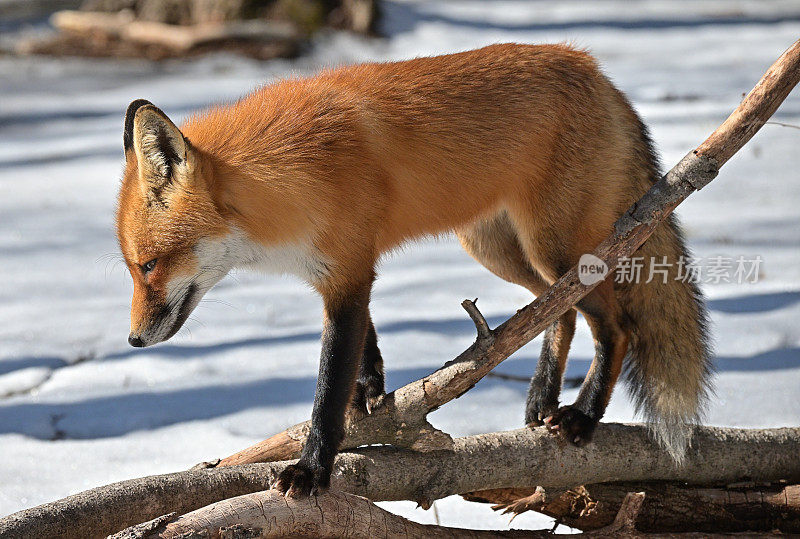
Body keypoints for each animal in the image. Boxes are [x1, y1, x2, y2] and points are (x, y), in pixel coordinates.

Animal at [115, 44, 708, 500]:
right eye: (132, 269)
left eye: (149, 265)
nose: (134, 340)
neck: (282, 180)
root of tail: (595, 69)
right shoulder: (343, 273)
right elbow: (365, 346)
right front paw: (370, 392)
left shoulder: (349, 273)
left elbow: (327, 388)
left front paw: (311, 470)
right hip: (499, 250)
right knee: (554, 313)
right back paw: (542, 396)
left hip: (554, 250)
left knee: (617, 326)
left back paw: (583, 416)